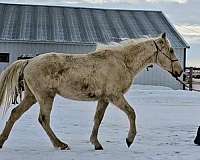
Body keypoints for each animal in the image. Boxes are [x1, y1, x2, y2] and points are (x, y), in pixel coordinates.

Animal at [0, 33, 183, 151]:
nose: (180, 71)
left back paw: (2, 141)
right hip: (45, 96)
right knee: (43, 119)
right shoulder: (115, 96)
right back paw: (61, 144)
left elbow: (98, 119)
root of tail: (29, 61)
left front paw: (96, 144)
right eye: (171, 50)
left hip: (31, 97)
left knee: (15, 113)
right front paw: (129, 140)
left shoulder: (104, 99)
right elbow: (131, 113)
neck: (123, 61)